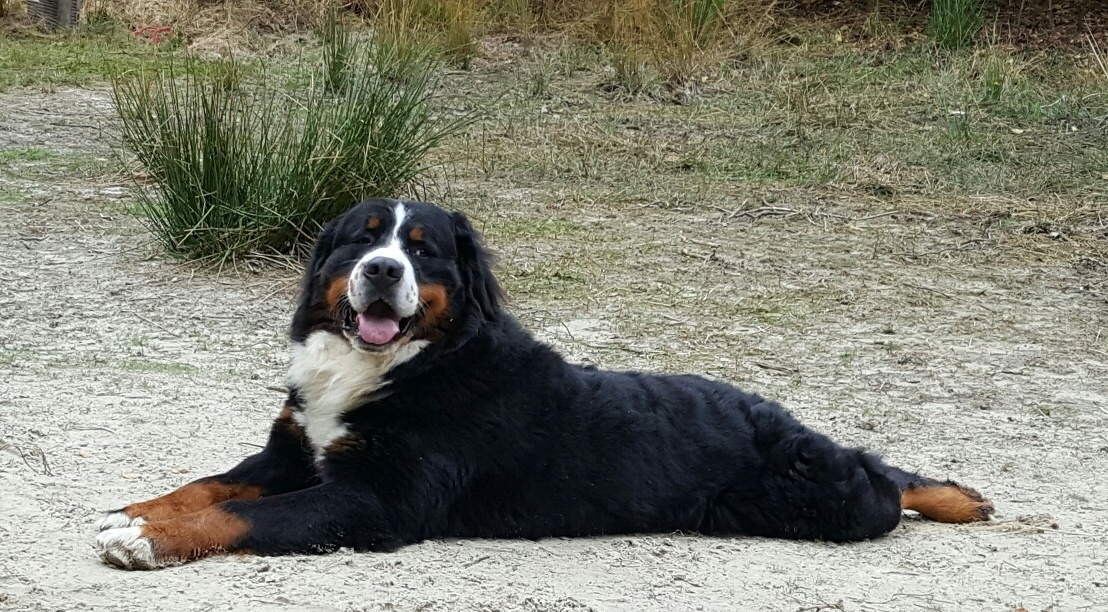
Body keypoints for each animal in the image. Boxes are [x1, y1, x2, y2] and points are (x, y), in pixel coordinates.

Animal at [95, 199, 997, 567]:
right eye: (360, 240)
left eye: (422, 250)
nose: (382, 272)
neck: (408, 363)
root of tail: (775, 416)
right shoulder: (293, 453)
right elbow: (207, 484)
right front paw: (133, 512)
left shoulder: (372, 498)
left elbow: (244, 516)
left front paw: (150, 542)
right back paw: (964, 495)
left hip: (822, 499)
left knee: (882, 479)